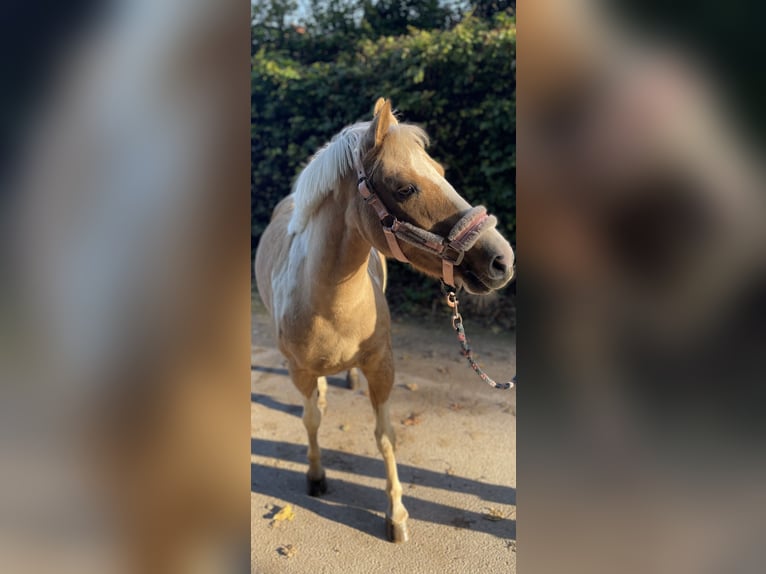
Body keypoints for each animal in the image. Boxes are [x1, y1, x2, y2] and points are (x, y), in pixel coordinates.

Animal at [256, 99, 516, 544]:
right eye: (405, 188)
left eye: (441, 171)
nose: (502, 259)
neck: (329, 304)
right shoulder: (299, 371)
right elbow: (311, 420)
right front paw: (316, 476)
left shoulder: (381, 365)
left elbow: (386, 437)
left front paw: (396, 515)